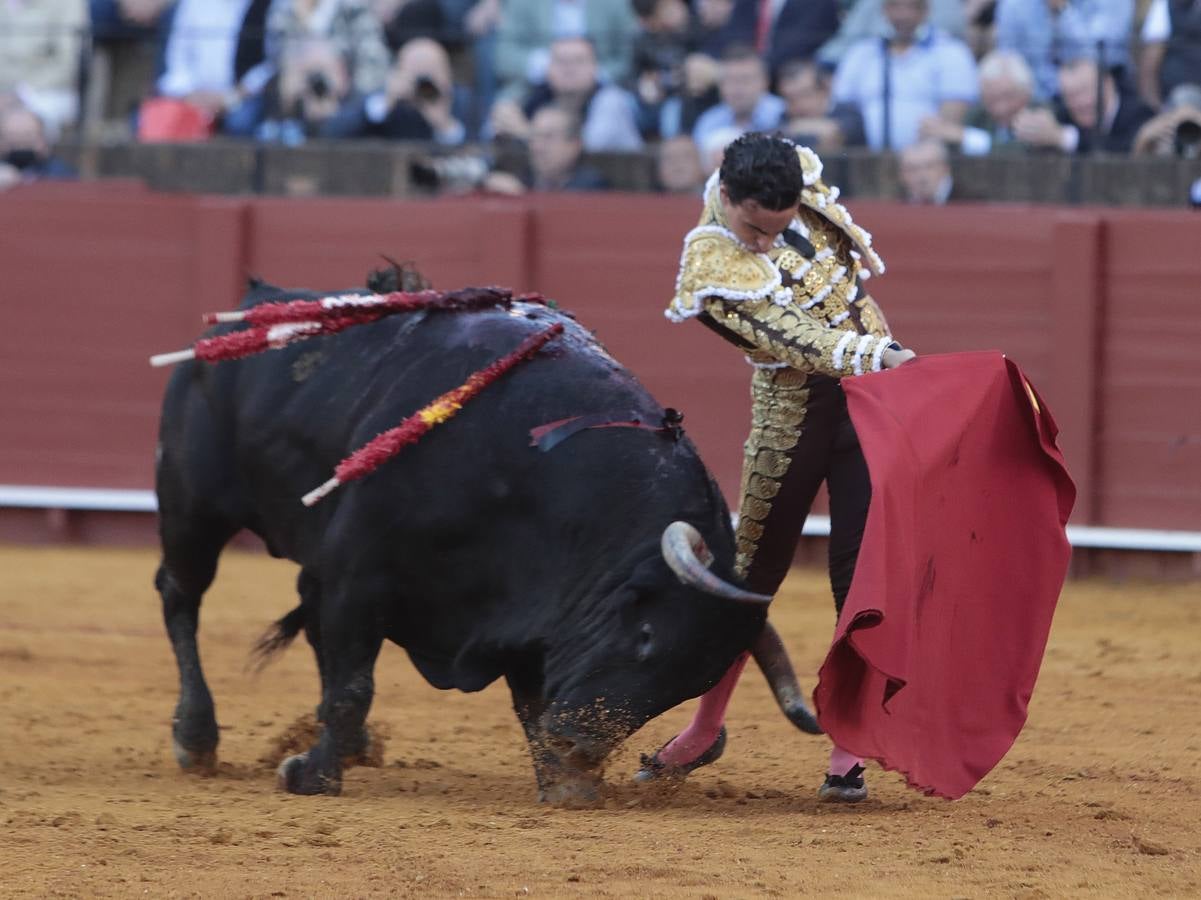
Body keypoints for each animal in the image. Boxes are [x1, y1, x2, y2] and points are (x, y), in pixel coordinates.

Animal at [157, 278, 807, 802]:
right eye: (646, 637)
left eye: (691, 683)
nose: (579, 746)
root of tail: (252, 308)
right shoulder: (356, 577)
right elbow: (353, 686)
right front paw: (311, 775)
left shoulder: (534, 611)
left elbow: (531, 700)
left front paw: (566, 784)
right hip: (192, 505)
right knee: (181, 594)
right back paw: (197, 737)